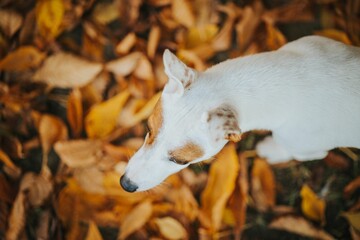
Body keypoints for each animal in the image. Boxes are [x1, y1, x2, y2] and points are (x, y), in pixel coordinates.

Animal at [120, 35, 360, 192]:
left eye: (180, 161)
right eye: (148, 129)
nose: (126, 184)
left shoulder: (304, 145)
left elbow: (293, 150)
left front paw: (271, 151)